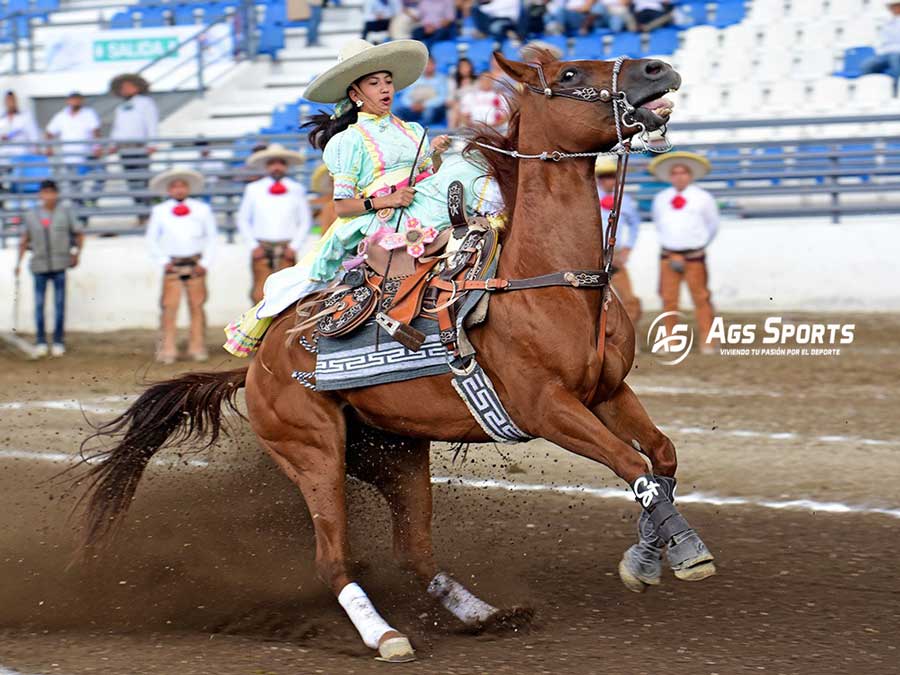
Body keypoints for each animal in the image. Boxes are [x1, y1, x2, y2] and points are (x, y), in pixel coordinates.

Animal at [82, 54, 716, 664]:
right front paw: (683, 554)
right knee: (334, 560)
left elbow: (661, 458)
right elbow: (633, 466)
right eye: (568, 73)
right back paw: (386, 636)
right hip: (314, 452)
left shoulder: (606, 393)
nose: (658, 68)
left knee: (413, 552)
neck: (548, 279)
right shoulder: (548, 409)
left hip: (394, 453)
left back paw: (485, 614)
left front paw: (645, 558)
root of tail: (256, 367)